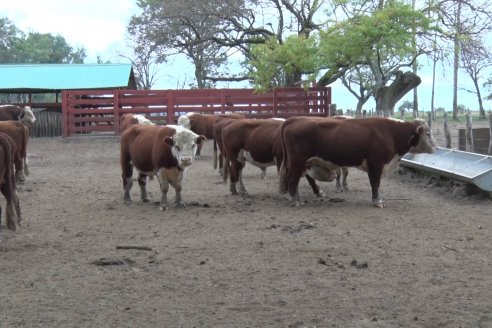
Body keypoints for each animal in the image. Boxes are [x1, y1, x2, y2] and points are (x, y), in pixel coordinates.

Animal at [278, 116, 436, 206]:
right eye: (428, 134)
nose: (436, 147)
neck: (390, 132)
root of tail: (294, 120)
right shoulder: (376, 164)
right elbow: (375, 183)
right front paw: (377, 201)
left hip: (297, 162)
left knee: (293, 177)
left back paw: (294, 197)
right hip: (298, 161)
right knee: (292, 178)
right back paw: (295, 201)